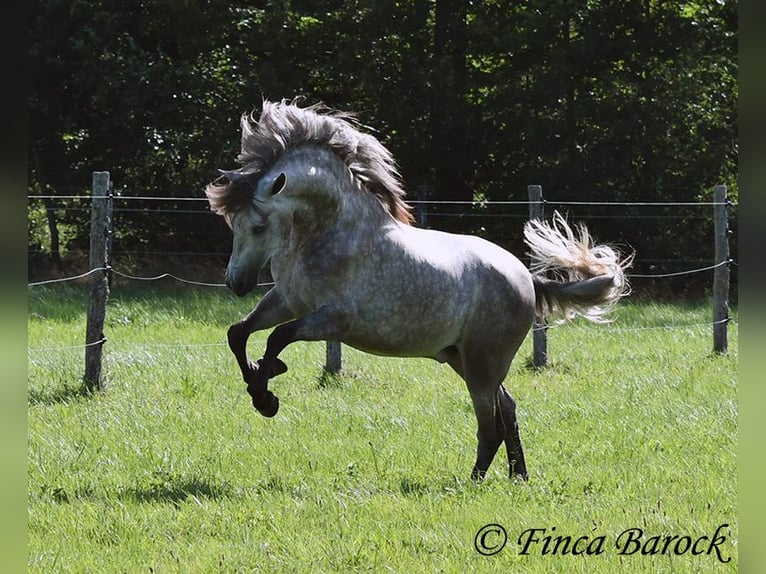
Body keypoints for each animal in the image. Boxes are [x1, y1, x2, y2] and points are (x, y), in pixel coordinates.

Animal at [204, 99, 632, 482]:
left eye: (259, 224)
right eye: (230, 222)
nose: (236, 283)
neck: (333, 233)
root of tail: (527, 278)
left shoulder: (333, 321)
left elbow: (277, 337)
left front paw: (266, 396)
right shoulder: (288, 301)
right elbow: (238, 333)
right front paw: (260, 375)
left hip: (482, 364)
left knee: (490, 423)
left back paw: (471, 482)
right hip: (464, 359)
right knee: (508, 409)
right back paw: (518, 476)